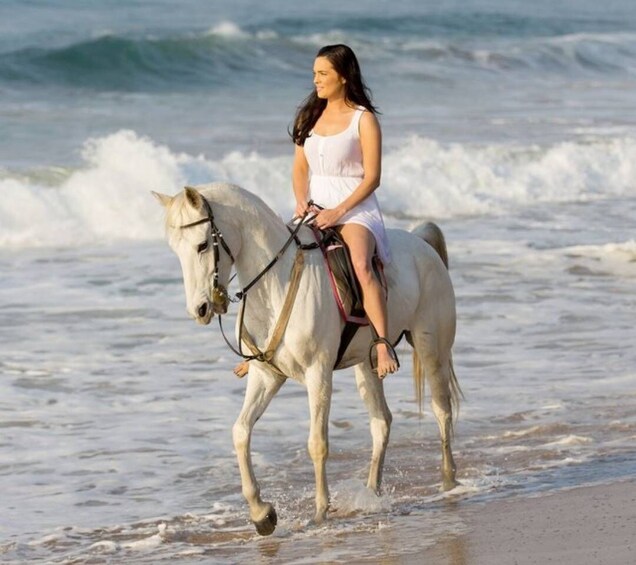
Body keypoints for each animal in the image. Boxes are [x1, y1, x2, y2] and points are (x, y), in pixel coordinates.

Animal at [154, 183, 462, 536]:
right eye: (176, 250)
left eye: (202, 244)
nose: (200, 310)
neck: (276, 283)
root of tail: (422, 243)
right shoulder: (266, 376)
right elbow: (241, 432)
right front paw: (262, 514)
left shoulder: (318, 373)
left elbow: (317, 443)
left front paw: (319, 513)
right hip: (366, 365)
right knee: (381, 422)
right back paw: (371, 493)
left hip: (431, 348)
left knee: (442, 410)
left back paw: (449, 483)